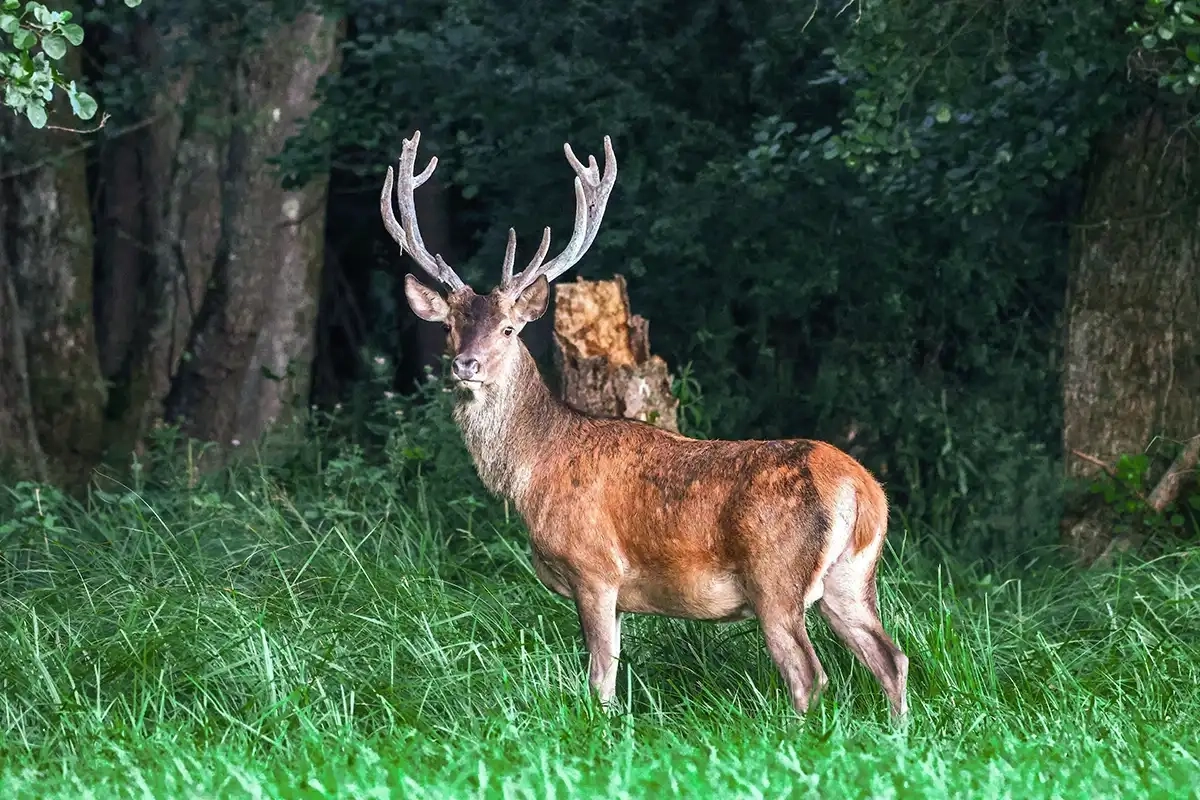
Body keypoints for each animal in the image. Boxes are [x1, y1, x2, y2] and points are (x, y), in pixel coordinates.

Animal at [380, 130, 909, 719]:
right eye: (450, 326)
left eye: (510, 329)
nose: (465, 365)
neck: (534, 470)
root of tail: (863, 489)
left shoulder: (594, 568)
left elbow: (599, 678)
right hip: (853, 576)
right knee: (892, 658)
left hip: (776, 575)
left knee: (809, 674)